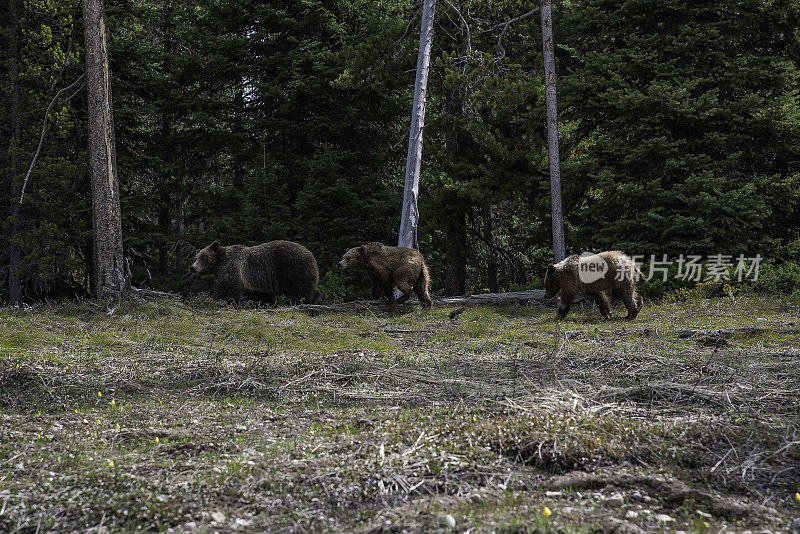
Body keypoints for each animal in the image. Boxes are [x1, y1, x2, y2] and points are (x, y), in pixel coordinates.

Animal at [191, 240, 322, 306]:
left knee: (300, 287)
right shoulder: (254, 282)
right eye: (196, 258)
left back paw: (302, 301)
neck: (219, 264)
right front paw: (265, 303)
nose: (193, 268)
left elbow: (228, 289)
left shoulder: (232, 271)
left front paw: (222, 300)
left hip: (292, 268)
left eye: (203, 258)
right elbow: (261, 294)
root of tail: (310, 254)